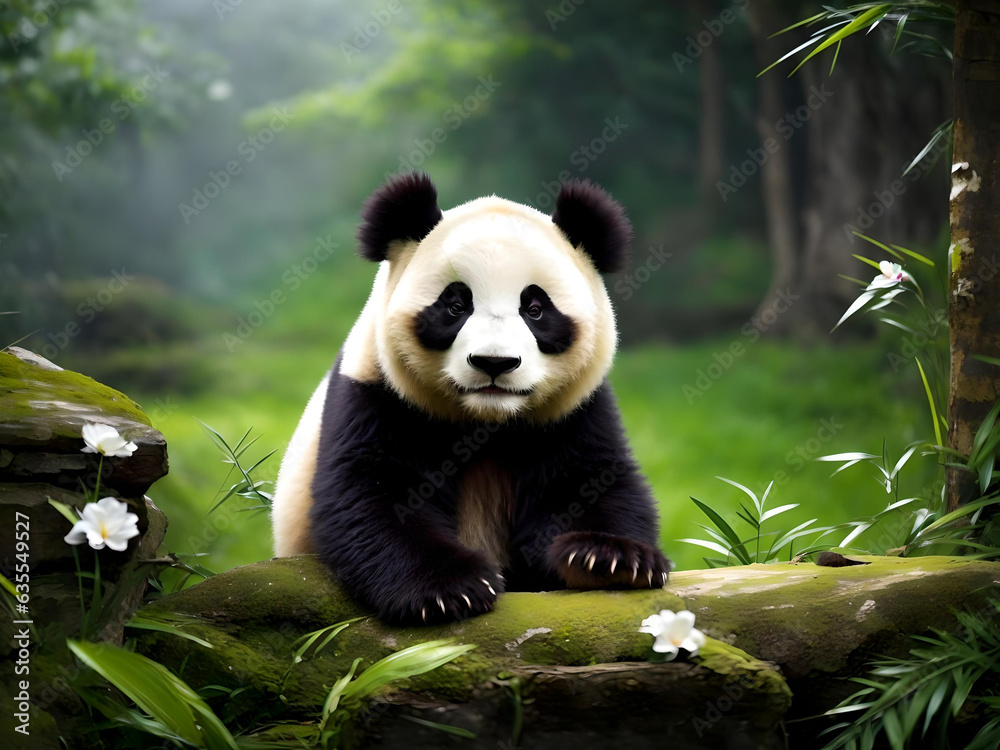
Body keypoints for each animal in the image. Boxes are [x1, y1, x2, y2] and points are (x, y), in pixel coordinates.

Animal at [271, 172, 670, 625]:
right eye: (456, 305)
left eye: (535, 309)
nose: (494, 362)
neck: (485, 421)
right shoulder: (376, 393)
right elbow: (374, 492)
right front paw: (448, 589)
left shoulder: (573, 411)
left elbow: (588, 481)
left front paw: (608, 559)